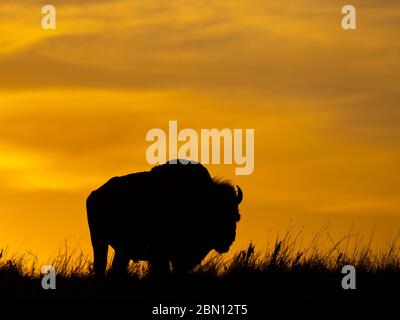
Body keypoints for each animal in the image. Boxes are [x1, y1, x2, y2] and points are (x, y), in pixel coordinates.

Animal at [87, 160, 242, 278]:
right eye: (218, 214)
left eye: (236, 216)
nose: (229, 239)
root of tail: (95, 194)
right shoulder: (164, 254)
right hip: (99, 241)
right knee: (101, 263)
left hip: (120, 249)